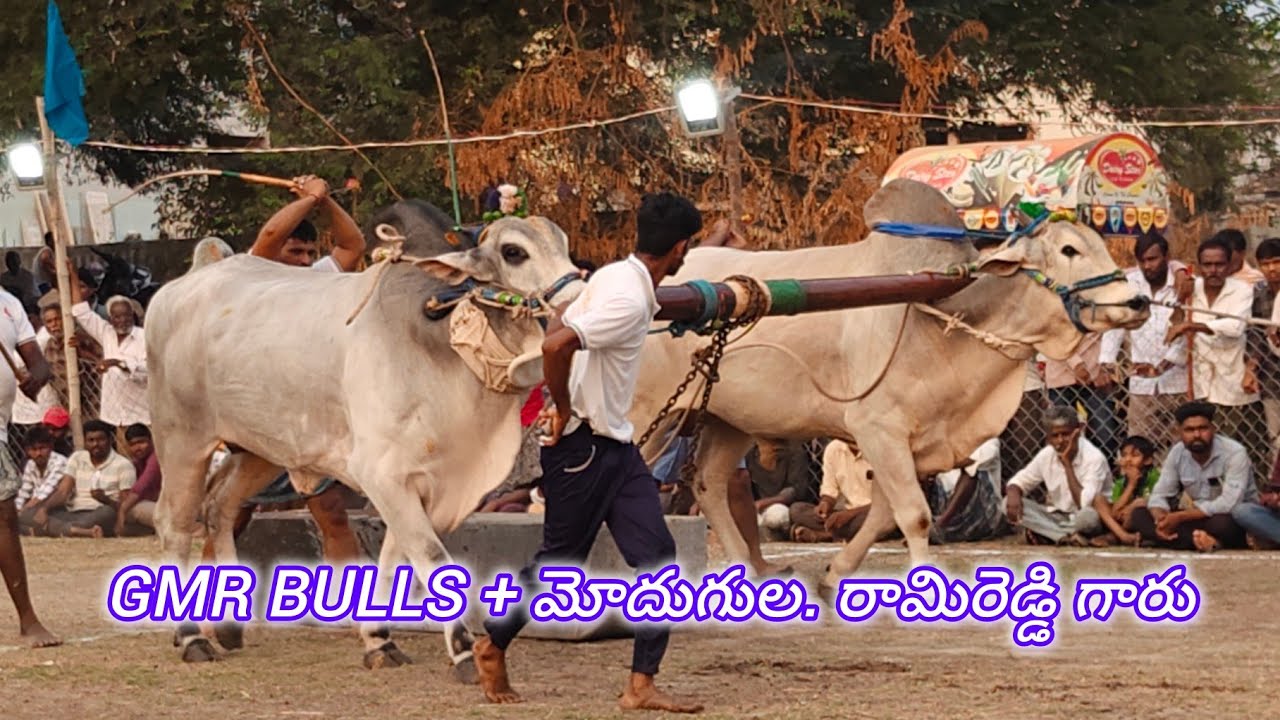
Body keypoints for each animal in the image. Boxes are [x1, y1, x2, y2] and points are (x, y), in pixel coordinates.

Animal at [146, 204, 585, 680]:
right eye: (513, 252)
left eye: (562, 242)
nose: (580, 299)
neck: (443, 345)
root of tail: (195, 275)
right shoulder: (383, 474)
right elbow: (432, 559)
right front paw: (466, 652)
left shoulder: (422, 484)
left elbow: (396, 560)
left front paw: (379, 640)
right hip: (182, 442)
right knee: (174, 524)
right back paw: (191, 636)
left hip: (264, 449)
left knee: (220, 508)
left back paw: (227, 627)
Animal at [627, 179, 1150, 596]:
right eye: (1069, 250)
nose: (1138, 301)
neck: (942, 318)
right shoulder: (877, 428)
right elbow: (914, 515)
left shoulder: (911, 444)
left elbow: (884, 516)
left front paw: (835, 573)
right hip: (648, 414)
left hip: (730, 417)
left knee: (708, 483)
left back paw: (745, 573)